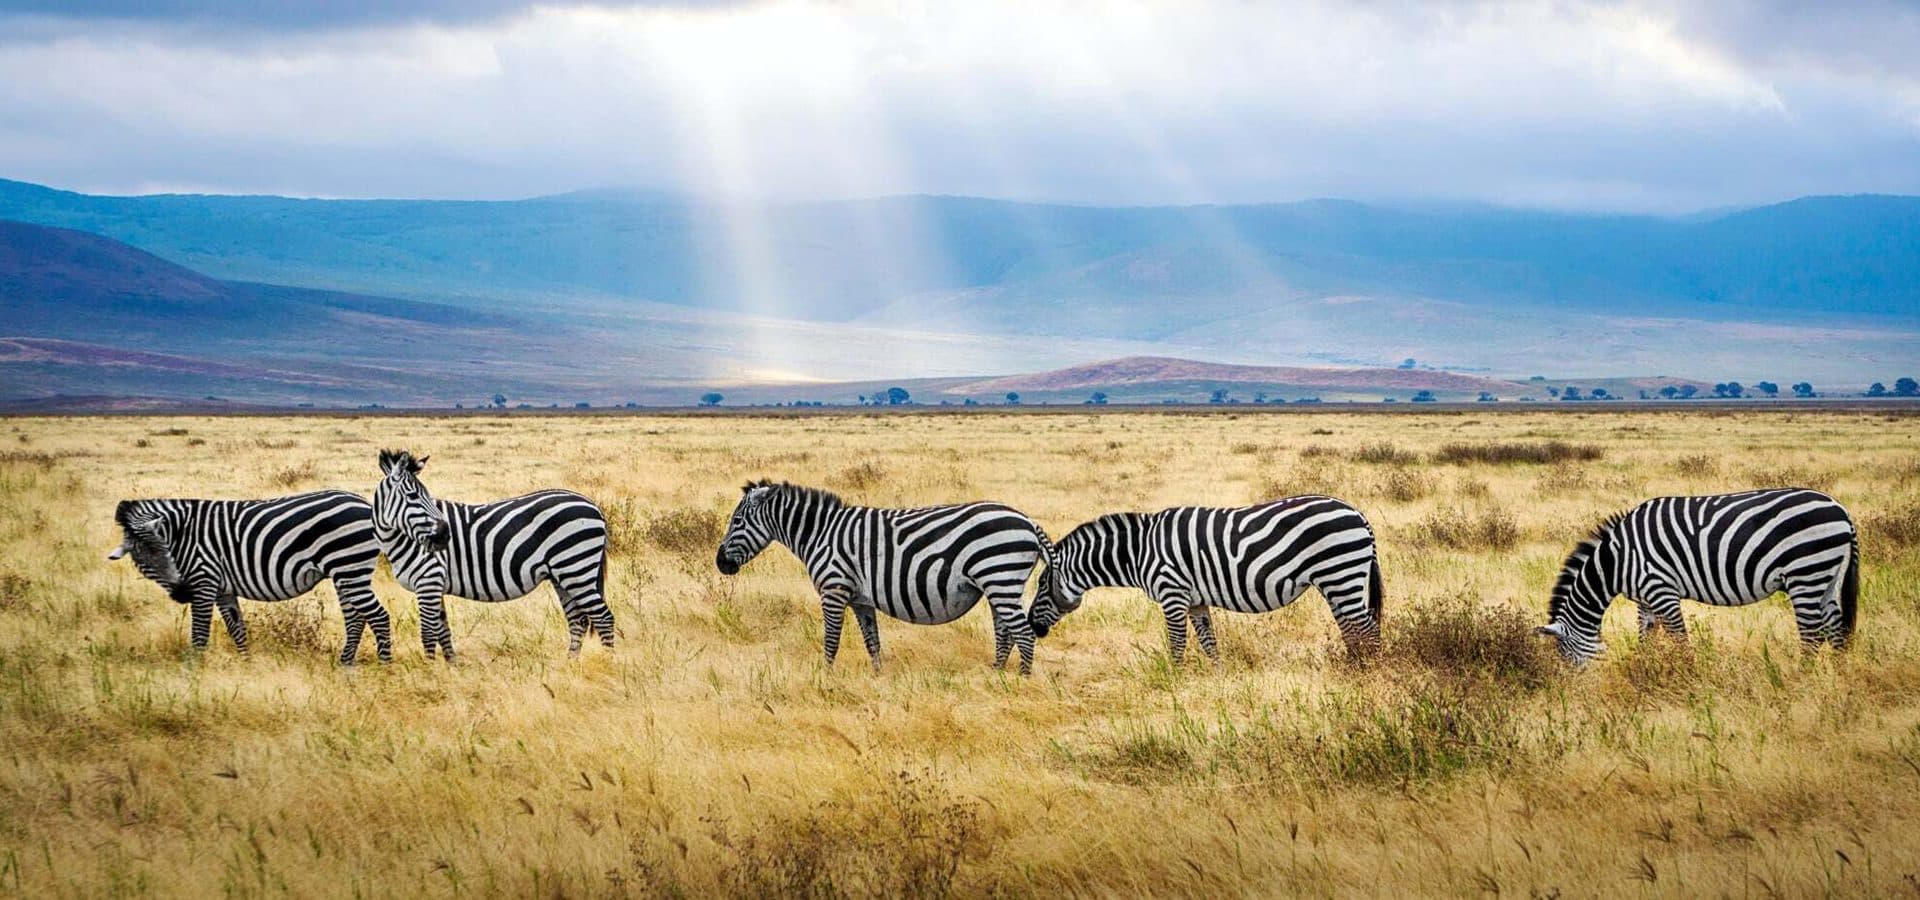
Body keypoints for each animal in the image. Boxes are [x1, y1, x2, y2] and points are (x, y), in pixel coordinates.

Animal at [107, 491, 392, 664]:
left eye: (166, 552)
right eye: (143, 562)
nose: (181, 593)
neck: (183, 534)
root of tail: (365, 503)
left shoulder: (204, 580)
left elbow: (199, 633)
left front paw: (194, 671)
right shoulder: (223, 589)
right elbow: (237, 628)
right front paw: (246, 664)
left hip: (349, 567)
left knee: (378, 616)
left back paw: (384, 666)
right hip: (344, 573)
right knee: (355, 618)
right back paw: (345, 664)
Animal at [373, 449, 613, 659]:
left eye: (425, 496)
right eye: (413, 495)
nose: (444, 535)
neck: (403, 539)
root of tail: (592, 504)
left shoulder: (429, 580)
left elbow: (428, 633)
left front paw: (430, 668)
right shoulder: (435, 584)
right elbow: (443, 632)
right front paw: (451, 667)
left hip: (576, 568)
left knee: (604, 618)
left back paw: (608, 662)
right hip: (563, 575)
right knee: (578, 620)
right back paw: (571, 664)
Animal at [715, 479, 1052, 675]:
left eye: (737, 521)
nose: (720, 564)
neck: (820, 533)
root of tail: (1027, 520)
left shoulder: (834, 590)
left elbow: (831, 640)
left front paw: (825, 678)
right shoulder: (861, 600)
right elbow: (872, 642)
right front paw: (878, 679)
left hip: (1000, 578)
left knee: (1023, 633)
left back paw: (1020, 681)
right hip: (998, 585)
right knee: (1005, 632)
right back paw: (995, 674)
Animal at [1029, 495, 1384, 662]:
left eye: (1042, 585)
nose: (1033, 626)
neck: (1139, 551)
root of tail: (1358, 514)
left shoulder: (1172, 594)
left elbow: (1177, 644)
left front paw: (1174, 682)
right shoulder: (1195, 601)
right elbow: (1209, 643)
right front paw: (1217, 679)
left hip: (1341, 574)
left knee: (1367, 628)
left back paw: (1370, 673)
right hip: (1337, 582)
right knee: (1352, 629)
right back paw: (1352, 668)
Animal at [1537, 488, 1859, 665]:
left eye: (1565, 656)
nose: (1575, 691)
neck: (1616, 561)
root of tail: (1841, 510)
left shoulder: (1661, 590)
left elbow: (1680, 639)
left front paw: (1688, 678)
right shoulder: (1645, 599)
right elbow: (1646, 637)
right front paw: (1643, 671)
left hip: (1805, 572)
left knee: (1812, 635)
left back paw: (1799, 682)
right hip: (1826, 576)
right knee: (1835, 628)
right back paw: (1839, 682)